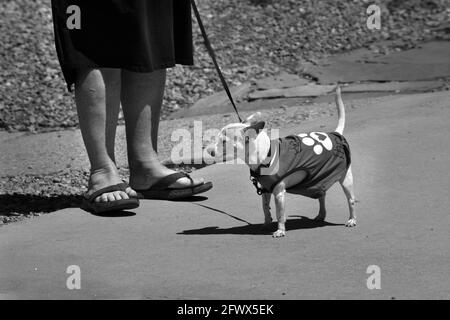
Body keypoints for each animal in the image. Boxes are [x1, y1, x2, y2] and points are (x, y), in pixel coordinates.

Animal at [212, 87, 358, 238]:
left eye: (224, 141)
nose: (210, 152)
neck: (266, 154)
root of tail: (335, 134)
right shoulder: (265, 191)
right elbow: (265, 208)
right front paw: (266, 224)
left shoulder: (279, 193)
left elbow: (280, 213)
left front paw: (280, 230)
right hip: (318, 179)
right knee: (321, 195)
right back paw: (321, 215)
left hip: (346, 178)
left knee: (351, 200)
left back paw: (352, 219)